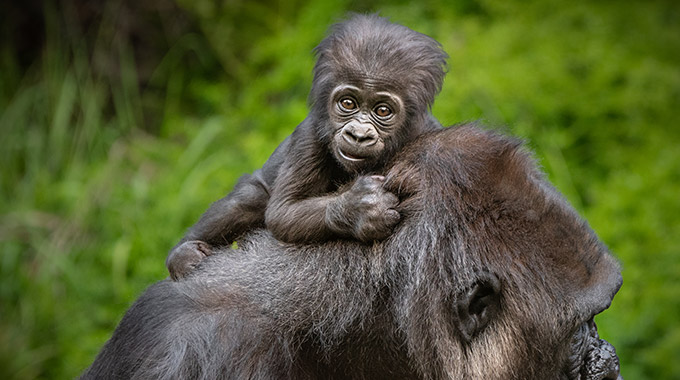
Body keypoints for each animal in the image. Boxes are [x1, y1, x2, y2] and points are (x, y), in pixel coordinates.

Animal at [167, 14, 448, 280]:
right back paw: (182, 254)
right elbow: (283, 212)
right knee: (244, 201)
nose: (358, 135)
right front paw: (358, 209)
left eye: (383, 111)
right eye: (348, 103)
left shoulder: (429, 130)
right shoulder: (309, 137)